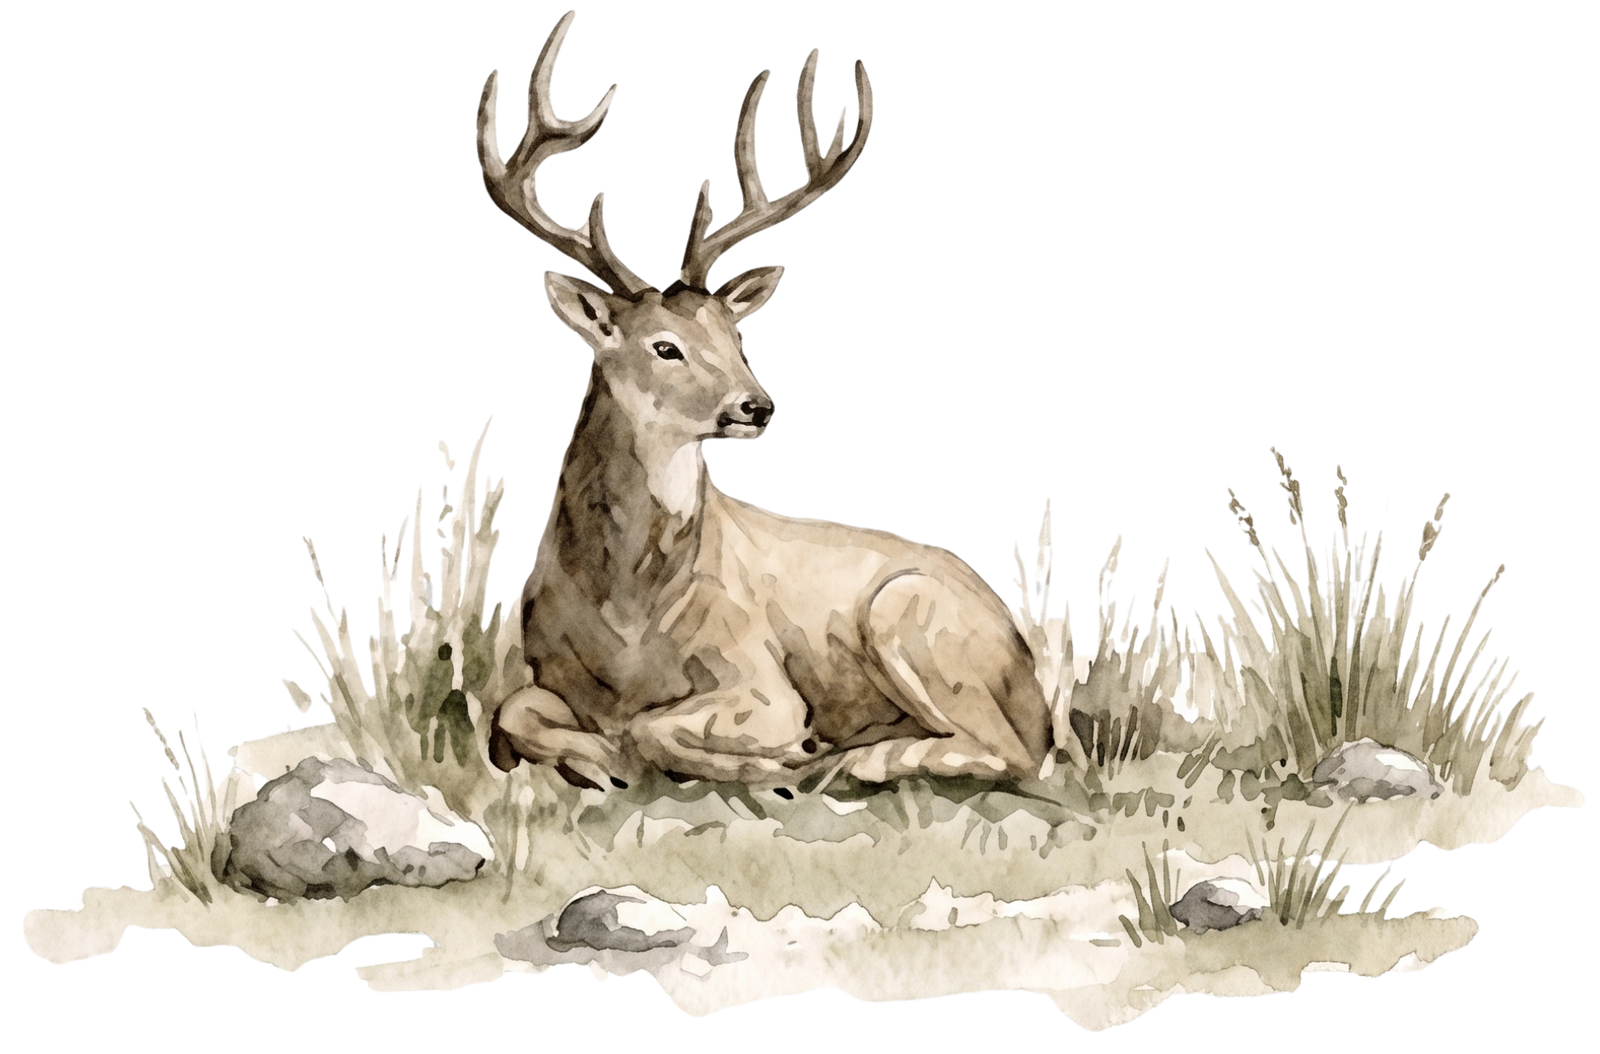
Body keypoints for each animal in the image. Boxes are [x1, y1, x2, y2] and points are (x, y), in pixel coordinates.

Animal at [479, 10, 1051, 792]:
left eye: (734, 332)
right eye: (664, 346)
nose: (757, 406)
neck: (628, 618)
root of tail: (1028, 670)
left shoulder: (764, 680)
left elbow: (654, 730)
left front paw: (775, 757)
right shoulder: (540, 671)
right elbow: (511, 716)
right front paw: (594, 760)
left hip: (912, 617)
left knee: (1011, 751)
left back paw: (858, 759)